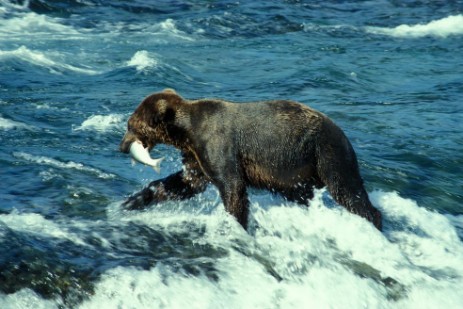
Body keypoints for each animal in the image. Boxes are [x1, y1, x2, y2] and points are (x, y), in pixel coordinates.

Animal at [120, 88, 384, 230]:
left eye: (131, 124)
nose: (122, 146)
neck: (187, 132)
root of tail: (343, 133)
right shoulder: (197, 156)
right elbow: (186, 182)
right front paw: (132, 200)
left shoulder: (217, 144)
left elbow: (232, 186)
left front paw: (237, 223)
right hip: (298, 171)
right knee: (303, 194)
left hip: (326, 152)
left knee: (346, 189)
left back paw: (372, 220)